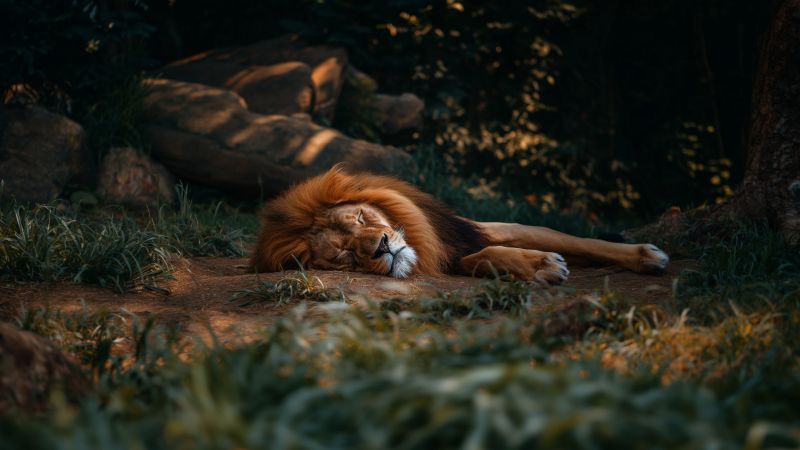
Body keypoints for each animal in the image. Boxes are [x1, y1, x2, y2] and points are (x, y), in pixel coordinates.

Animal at [250, 167, 669, 284]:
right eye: (343, 255)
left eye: (360, 218)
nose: (382, 246)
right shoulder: (452, 255)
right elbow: (483, 257)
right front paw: (543, 265)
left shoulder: (479, 227)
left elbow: (574, 239)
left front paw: (647, 255)